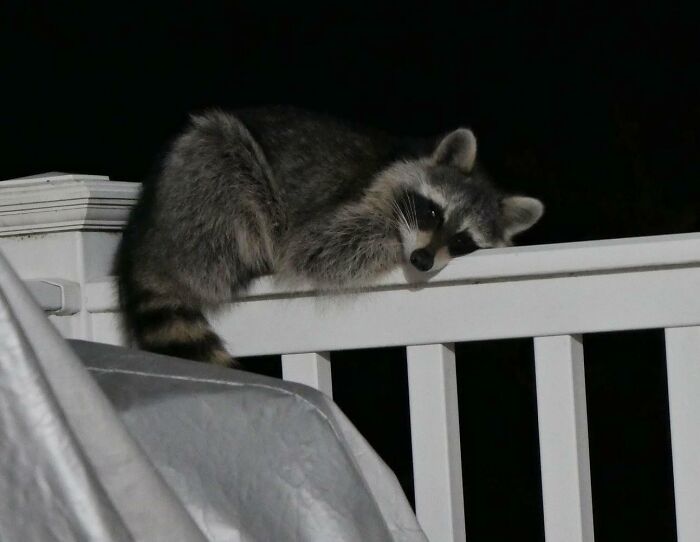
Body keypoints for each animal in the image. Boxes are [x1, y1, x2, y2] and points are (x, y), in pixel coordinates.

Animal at [114, 107, 543, 367]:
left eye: (462, 243)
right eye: (433, 211)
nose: (422, 259)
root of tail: (147, 244)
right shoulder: (338, 208)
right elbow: (321, 244)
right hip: (204, 187)